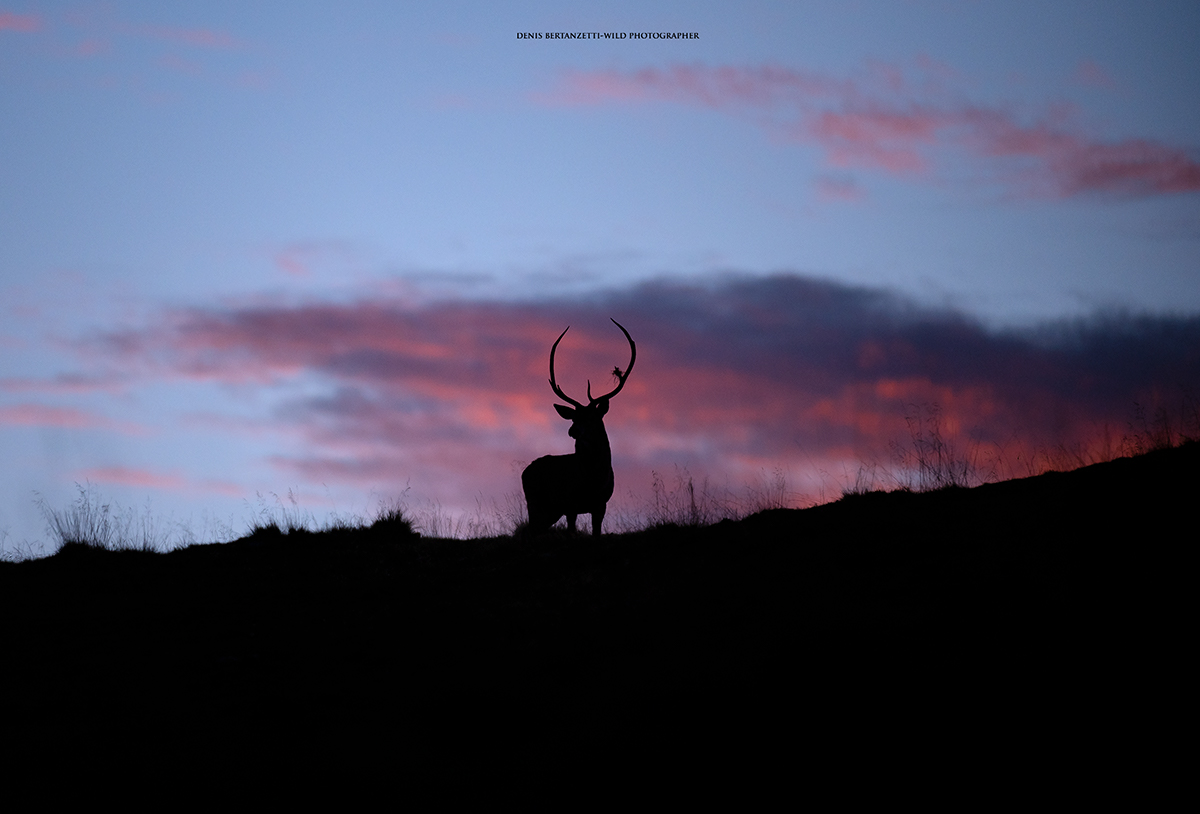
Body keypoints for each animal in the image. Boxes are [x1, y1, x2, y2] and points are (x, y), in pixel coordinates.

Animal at [521, 319, 636, 536]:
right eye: (573, 418)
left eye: (592, 417)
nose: (572, 431)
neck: (593, 481)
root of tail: (525, 471)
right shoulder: (570, 504)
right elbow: (572, 533)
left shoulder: (601, 504)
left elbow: (596, 533)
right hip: (535, 502)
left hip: (551, 511)